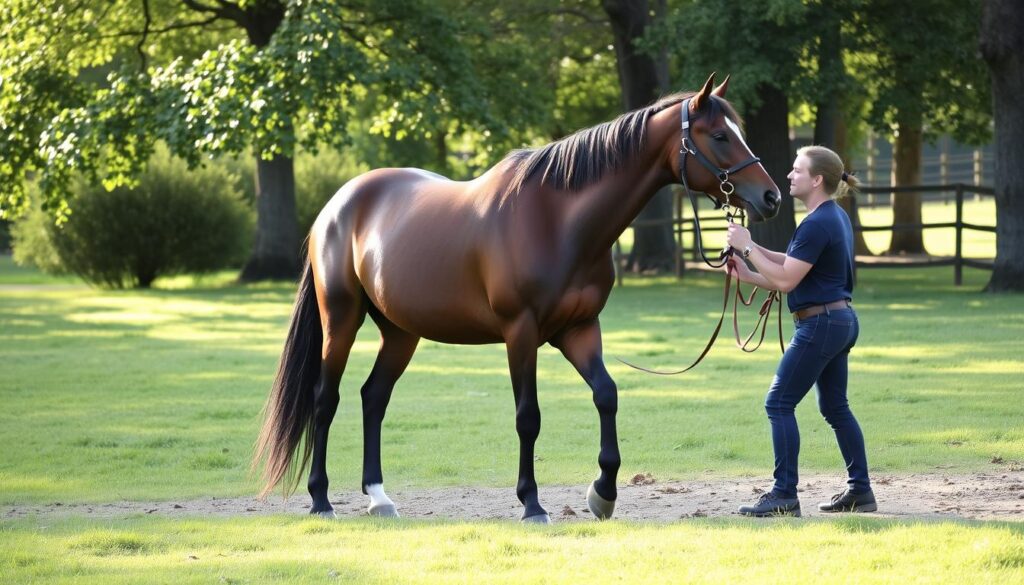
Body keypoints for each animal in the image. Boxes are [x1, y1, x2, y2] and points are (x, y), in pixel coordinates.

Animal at [253, 71, 774, 524]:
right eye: (720, 136)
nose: (769, 197)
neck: (557, 221)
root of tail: (337, 205)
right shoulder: (520, 332)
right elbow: (529, 417)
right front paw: (532, 504)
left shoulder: (578, 330)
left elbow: (606, 395)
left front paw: (602, 494)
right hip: (340, 318)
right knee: (326, 399)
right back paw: (321, 499)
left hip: (400, 332)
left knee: (373, 397)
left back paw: (379, 498)